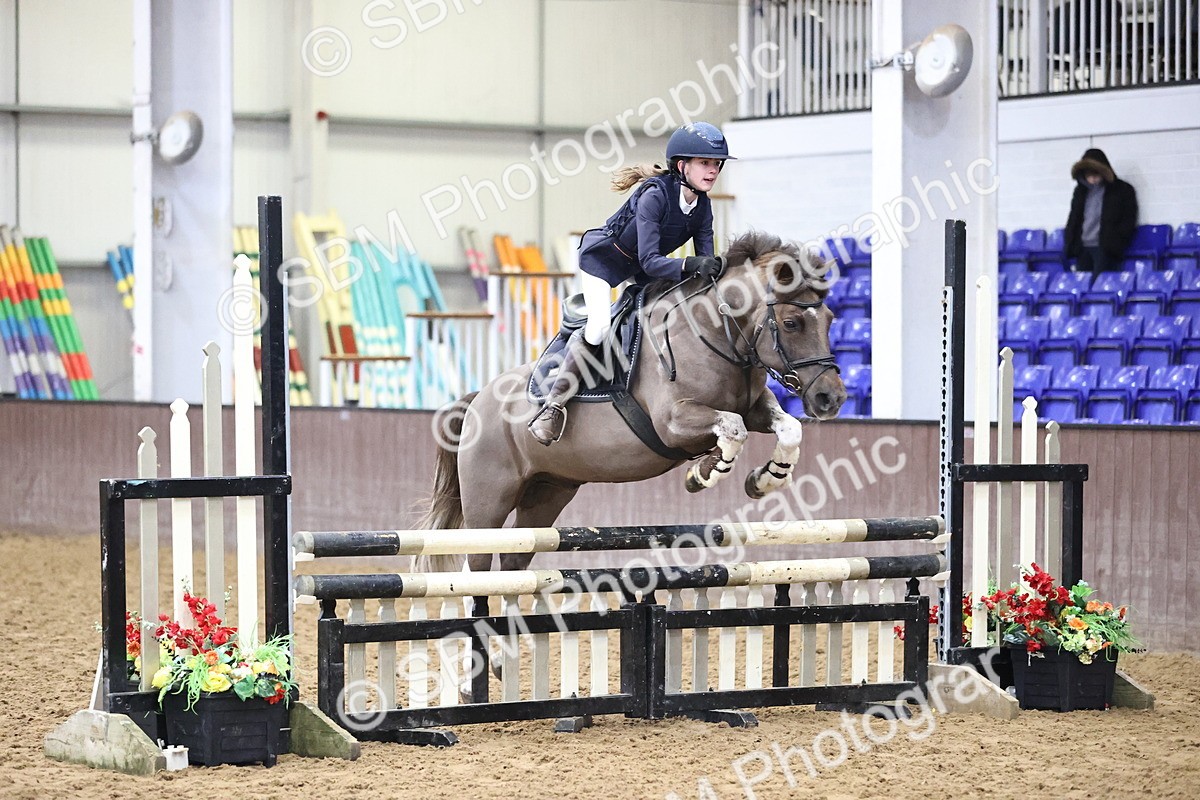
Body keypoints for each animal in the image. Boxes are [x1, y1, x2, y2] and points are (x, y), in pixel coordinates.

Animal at [415, 230, 847, 578]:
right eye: (791, 323)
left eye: (829, 319)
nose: (831, 398)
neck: (715, 334)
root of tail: (477, 400)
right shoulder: (673, 422)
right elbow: (731, 429)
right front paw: (703, 473)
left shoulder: (755, 409)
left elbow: (788, 428)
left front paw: (766, 478)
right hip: (488, 501)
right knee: (478, 564)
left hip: (546, 493)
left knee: (513, 562)